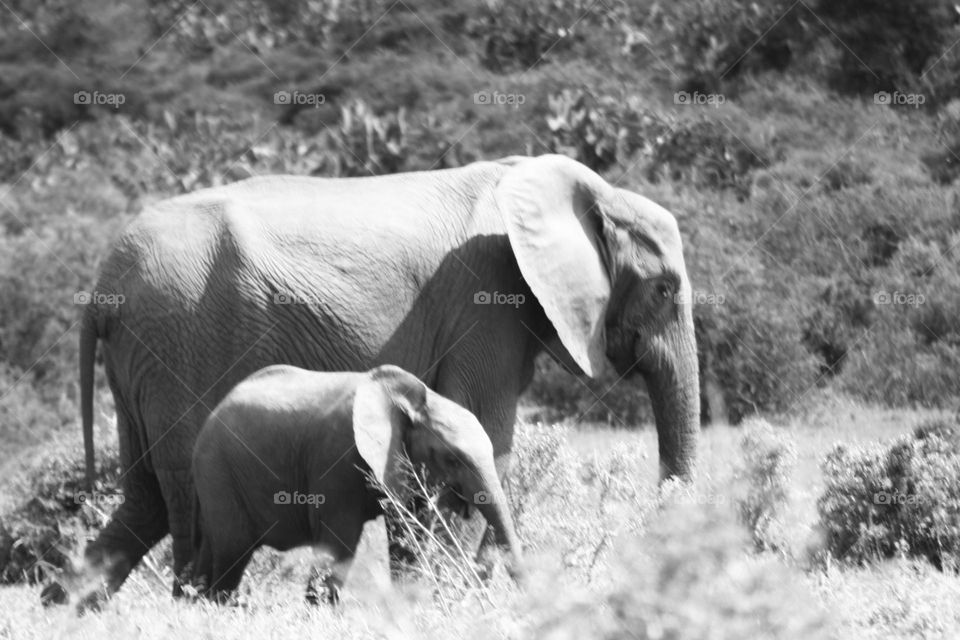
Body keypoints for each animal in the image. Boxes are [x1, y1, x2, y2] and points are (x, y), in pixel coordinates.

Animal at [188, 364, 516, 600]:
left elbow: (405, 537)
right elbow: (338, 545)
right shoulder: (336, 461)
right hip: (218, 469)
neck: (415, 402)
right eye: (452, 459)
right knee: (231, 554)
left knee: (210, 549)